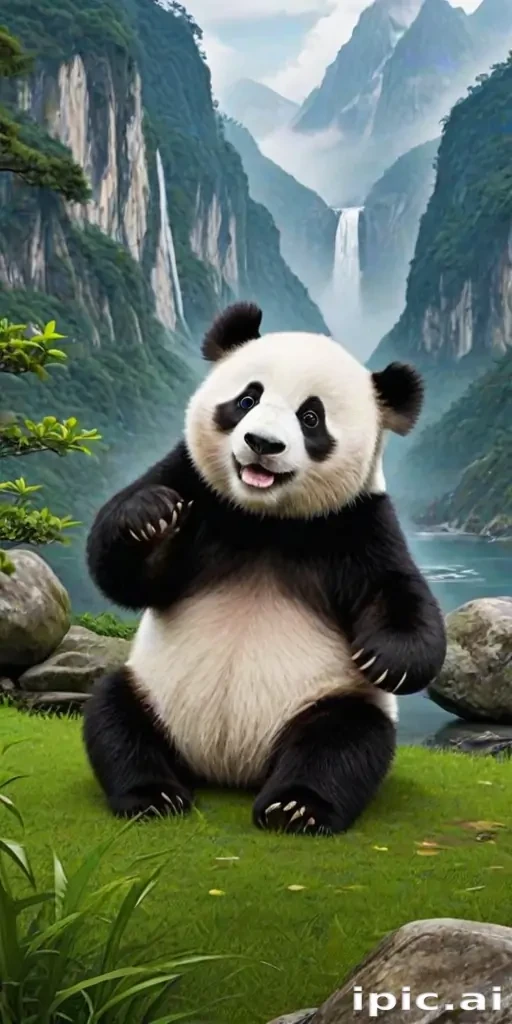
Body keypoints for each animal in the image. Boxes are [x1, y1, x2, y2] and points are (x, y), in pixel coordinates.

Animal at [84, 302, 446, 836]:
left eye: (310, 417)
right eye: (247, 398)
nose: (261, 443)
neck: (264, 520)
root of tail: (230, 768)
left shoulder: (356, 522)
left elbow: (396, 589)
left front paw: (386, 657)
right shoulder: (192, 482)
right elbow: (121, 575)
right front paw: (148, 517)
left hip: (325, 702)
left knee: (344, 742)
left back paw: (297, 807)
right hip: (153, 692)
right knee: (114, 715)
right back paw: (154, 795)